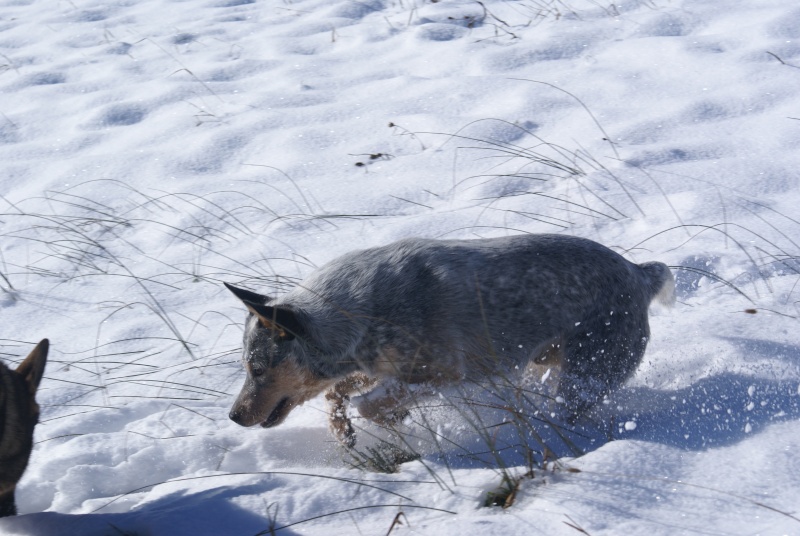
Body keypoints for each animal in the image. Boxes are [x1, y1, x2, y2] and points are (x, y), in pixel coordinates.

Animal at [227, 234, 676, 448]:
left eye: (257, 369)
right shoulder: (374, 367)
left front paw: (391, 419)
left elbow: (371, 404)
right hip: (546, 362)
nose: (233, 416)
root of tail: (639, 272)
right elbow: (336, 392)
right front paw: (343, 432)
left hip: (587, 374)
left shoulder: (440, 372)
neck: (357, 311)